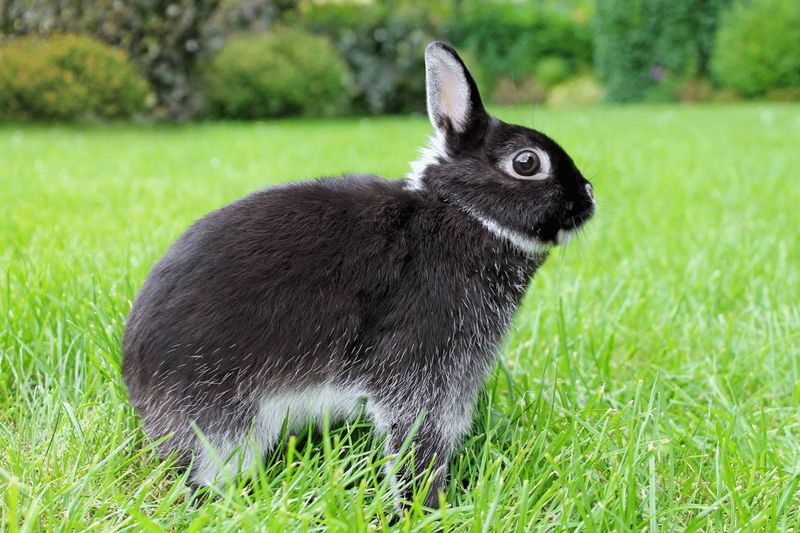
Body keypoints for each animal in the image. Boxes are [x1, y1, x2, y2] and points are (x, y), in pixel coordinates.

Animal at [120, 39, 592, 504]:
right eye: (527, 163)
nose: (588, 195)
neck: (464, 213)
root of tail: (138, 381)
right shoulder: (421, 369)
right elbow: (417, 439)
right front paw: (425, 504)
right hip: (225, 417)